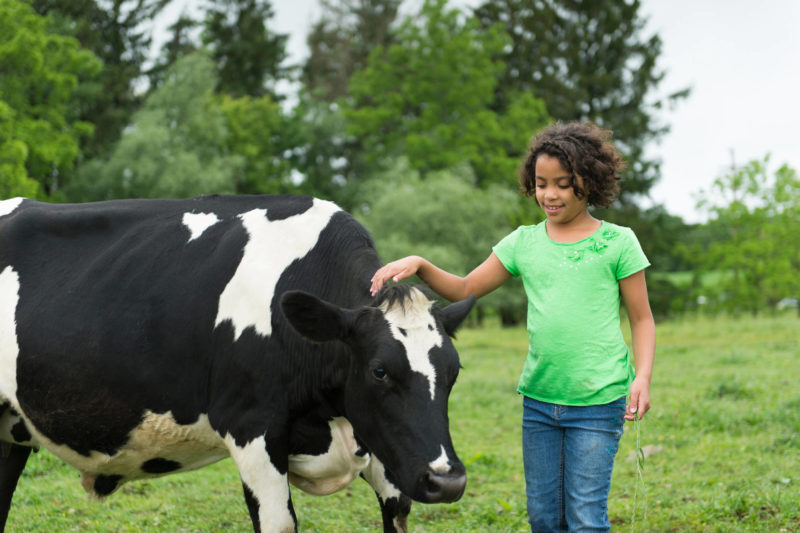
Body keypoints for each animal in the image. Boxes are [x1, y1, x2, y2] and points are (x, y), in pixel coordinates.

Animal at [0, 195, 476, 532]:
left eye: (454, 372)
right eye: (379, 370)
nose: (447, 481)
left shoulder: (385, 446)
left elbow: (397, 512)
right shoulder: (252, 428)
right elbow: (279, 524)